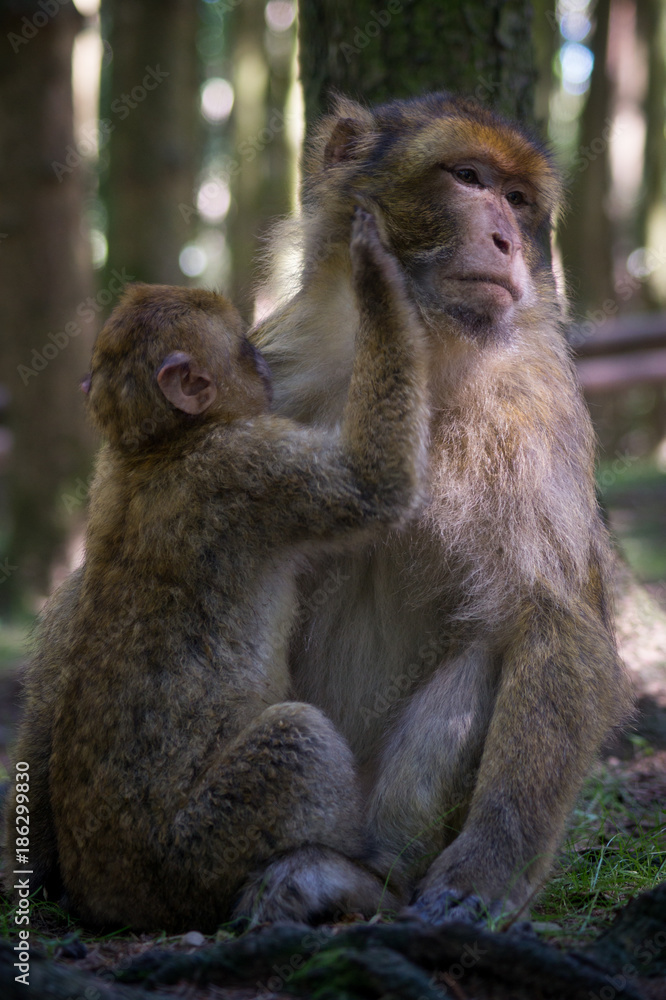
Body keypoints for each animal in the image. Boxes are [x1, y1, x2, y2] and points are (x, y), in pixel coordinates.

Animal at [3, 207, 430, 932]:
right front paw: (375, 277)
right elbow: (372, 485)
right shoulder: (247, 467)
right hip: (192, 854)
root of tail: (112, 897)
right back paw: (353, 880)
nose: (265, 363)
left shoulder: (114, 470)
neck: (155, 444)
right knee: (296, 738)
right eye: (245, 351)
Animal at [251, 92, 632, 925]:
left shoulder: (540, 410)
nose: (507, 240)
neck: (415, 356)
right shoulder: (268, 376)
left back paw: (367, 881)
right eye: (469, 178)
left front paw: (486, 870)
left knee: (487, 654)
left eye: (518, 200)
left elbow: (554, 620)